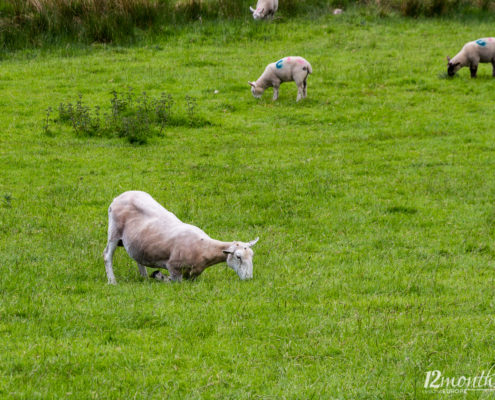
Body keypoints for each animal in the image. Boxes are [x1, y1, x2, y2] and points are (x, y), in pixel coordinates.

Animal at [103, 191, 262, 282]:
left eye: (252, 256)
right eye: (238, 257)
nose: (249, 279)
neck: (204, 248)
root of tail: (119, 197)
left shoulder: (192, 275)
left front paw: (156, 276)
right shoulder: (173, 268)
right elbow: (170, 280)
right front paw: (158, 276)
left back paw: (144, 278)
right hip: (114, 232)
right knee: (107, 255)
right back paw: (112, 281)